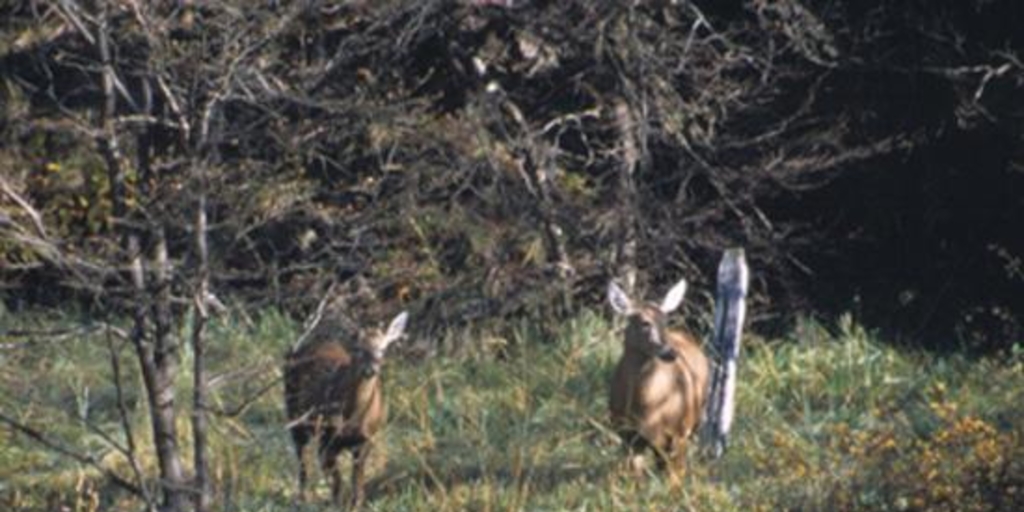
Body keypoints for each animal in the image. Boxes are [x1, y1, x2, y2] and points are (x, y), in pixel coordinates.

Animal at [284, 309, 407, 505]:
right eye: (358, 348)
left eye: (382, 349)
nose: (370, 369)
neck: (354, 419)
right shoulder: (326, 439)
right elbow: (337, 483)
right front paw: (336, 504)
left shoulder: (367, 439)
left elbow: (357, 483)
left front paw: (355, 504)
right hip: (294, 413)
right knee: (302, 458)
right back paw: (301, 498)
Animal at [602, 278, 708, 481]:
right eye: (645, 323)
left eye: (665, 321)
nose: (670, 352)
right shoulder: (627, 434)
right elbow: (635, 478)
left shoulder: (678, 433)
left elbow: (674, 478)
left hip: (694, 422)